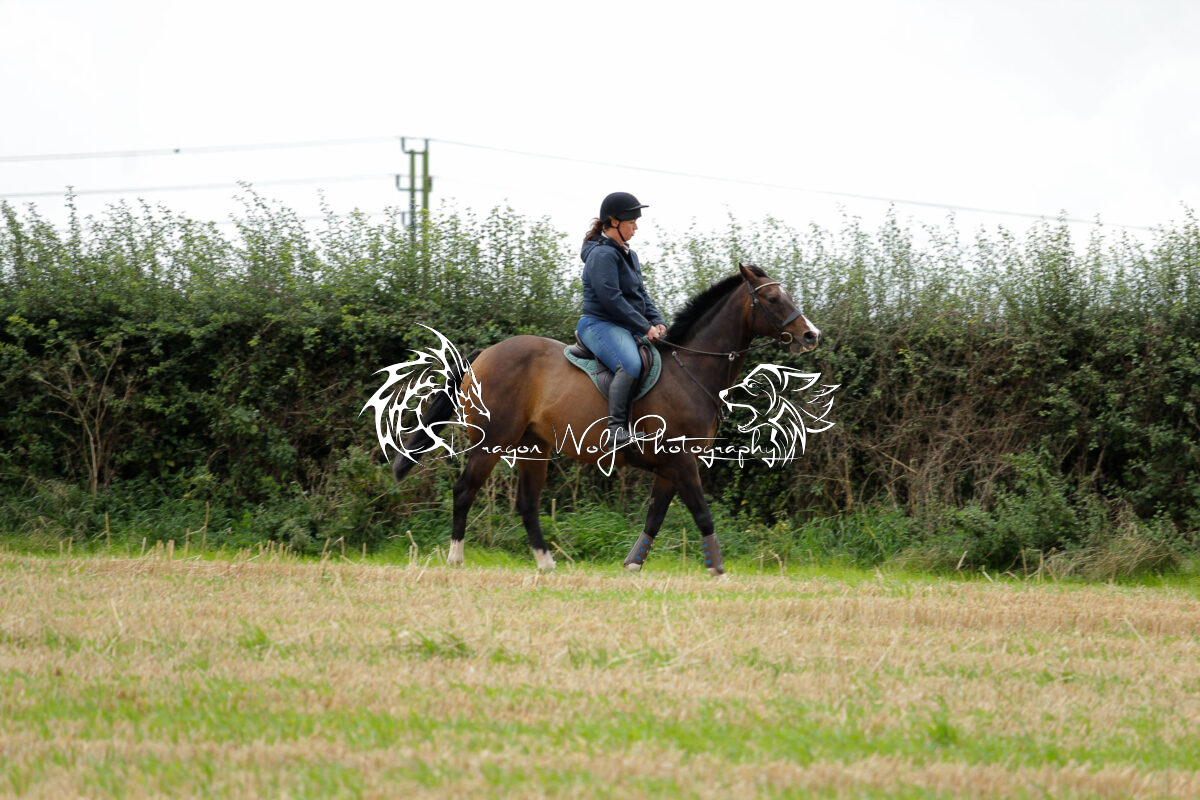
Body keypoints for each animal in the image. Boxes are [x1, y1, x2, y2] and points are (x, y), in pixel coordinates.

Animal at [388, 264, 821, 575]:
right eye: (772, 298)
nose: (811, 335)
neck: (691, 370)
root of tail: (485, 355)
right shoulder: (681, 461)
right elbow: (701, 511)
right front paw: (717, 568)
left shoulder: (672, 467)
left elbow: (655, 516)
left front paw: (633, 564)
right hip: (491, 441)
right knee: (465, 490)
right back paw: (456, 558)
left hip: (533, 448)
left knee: (527, 503)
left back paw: (547, 563)